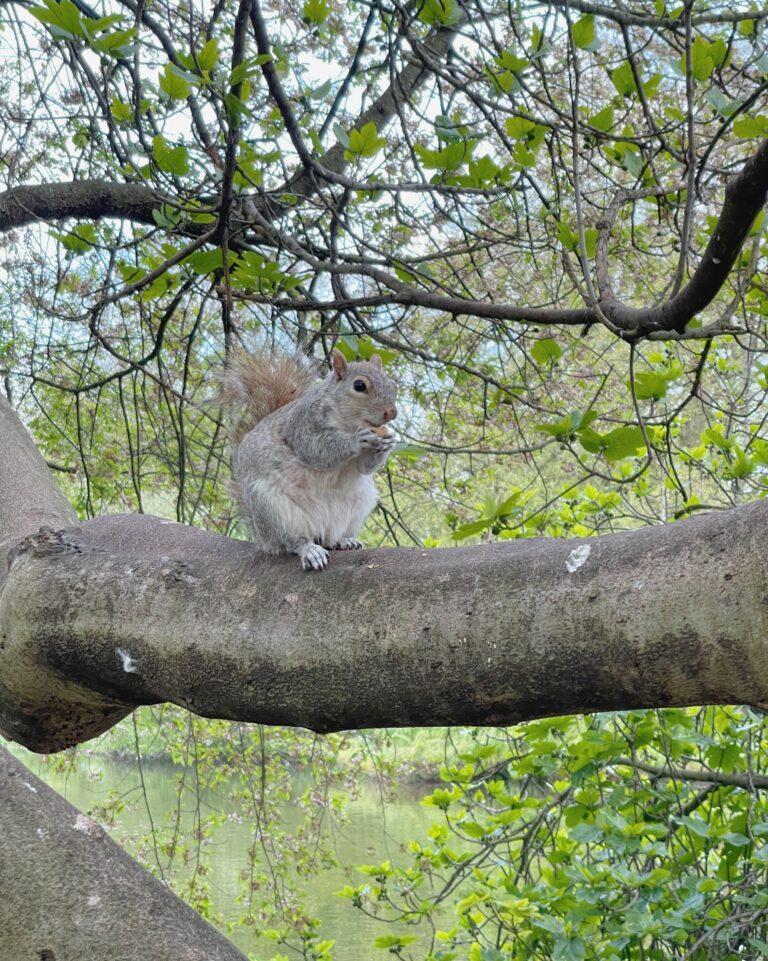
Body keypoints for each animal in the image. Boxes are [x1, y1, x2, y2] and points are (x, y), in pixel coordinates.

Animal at [214, 346, 396, 568]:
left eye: (392, 384)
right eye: (359, 385)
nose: (391, 413)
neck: (348, 424)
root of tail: (263, 538)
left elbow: (364, 467)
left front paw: (388, 442)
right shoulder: (302, 426)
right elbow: (315, 449)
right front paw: (356, 440)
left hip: (359, 504)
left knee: (331, 540)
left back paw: (345, 541)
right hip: (273, 509)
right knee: (292, 541)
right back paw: (309, 550)